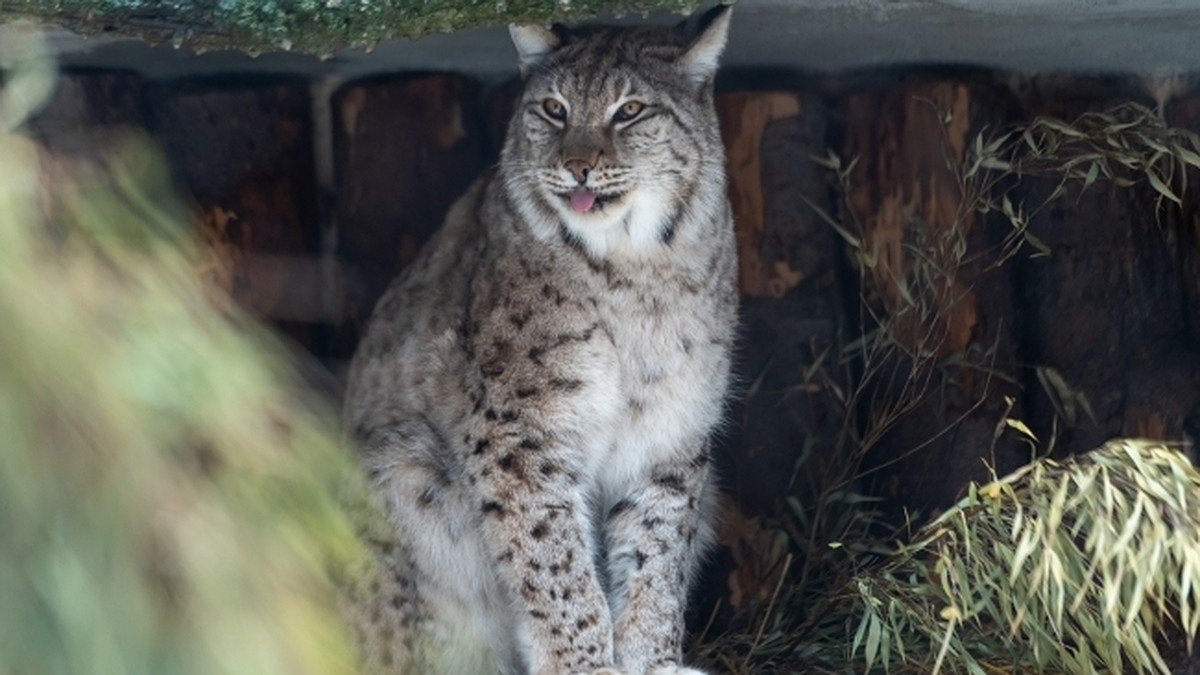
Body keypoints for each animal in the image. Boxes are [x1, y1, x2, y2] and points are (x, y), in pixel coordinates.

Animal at [340, 6, 739, 672]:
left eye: (630, 111)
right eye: (554, 109)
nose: (577, 166)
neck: (635, 264)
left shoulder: (673, 425)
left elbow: (659, 551)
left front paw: (651, 660)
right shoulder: (520, 428)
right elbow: (553, 559)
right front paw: (584, 664)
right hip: (397, 463)